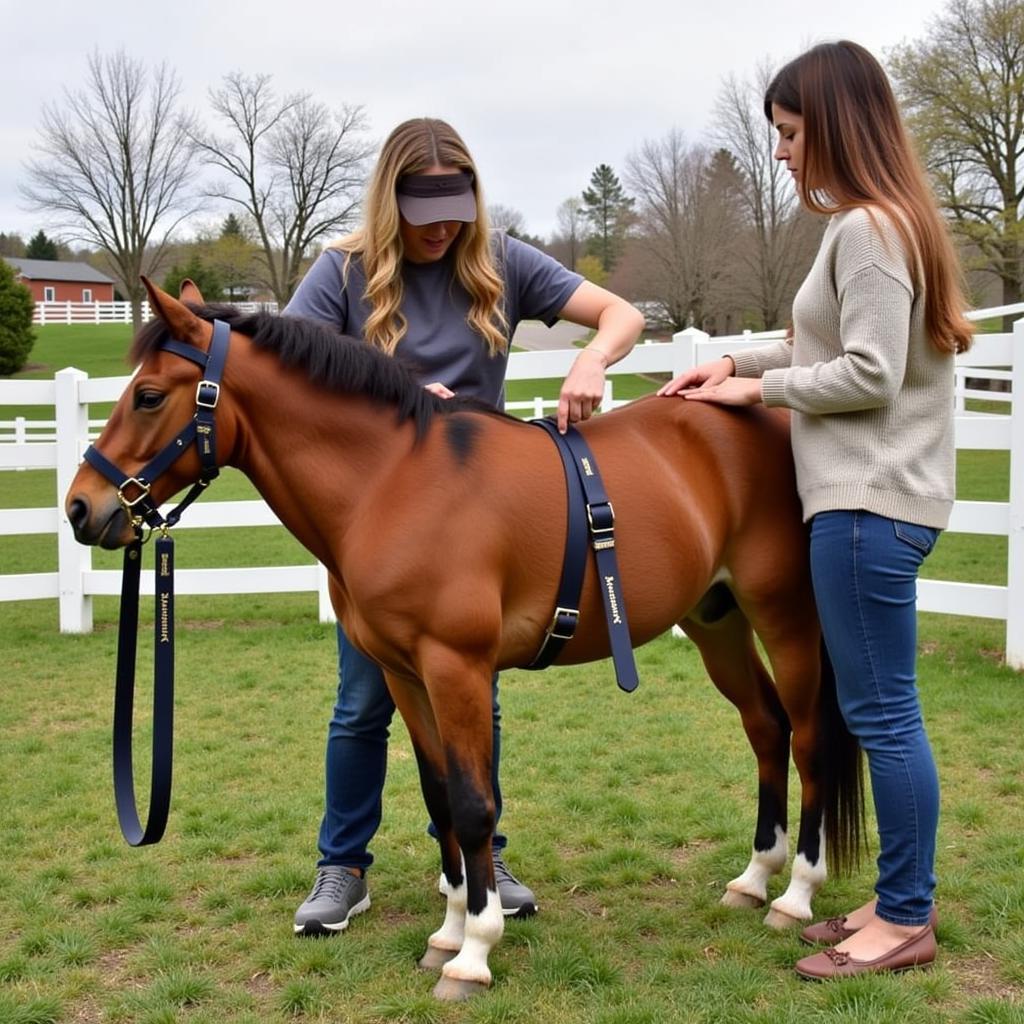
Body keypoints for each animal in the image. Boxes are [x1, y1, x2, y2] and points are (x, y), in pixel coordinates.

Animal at [68, 278, 860, 999]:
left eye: (148, 396)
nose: (81, 506)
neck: (392, 483)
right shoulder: (405, 674)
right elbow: (441, 797)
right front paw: (448, 930)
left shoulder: (457, 670)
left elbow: (477, 805)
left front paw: (475, 951)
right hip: (715, 620)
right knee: (767, 728)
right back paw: (754, 878)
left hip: (784, 617)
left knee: (809, 739)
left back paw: (796, 893)